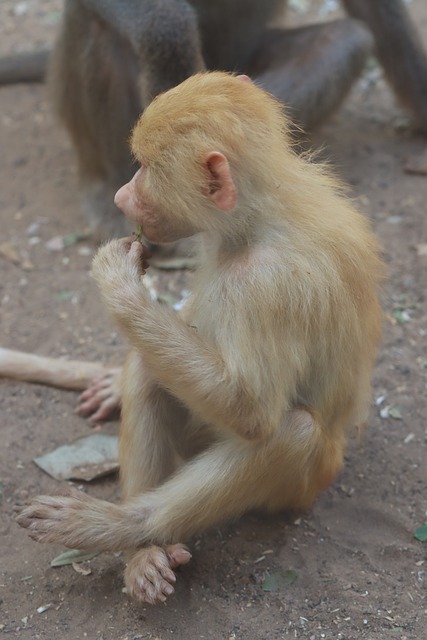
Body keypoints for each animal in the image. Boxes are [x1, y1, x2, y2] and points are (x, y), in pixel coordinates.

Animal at [0, 0, 427, 240]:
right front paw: (170, 61)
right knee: (94, 21)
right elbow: (162, 29)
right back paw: (112, 190)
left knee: (342, 42)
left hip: (245, 55)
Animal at [16, 71, 384, 604]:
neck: (259, 220)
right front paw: (114, 381)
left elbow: (251, 411)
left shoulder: (267, 284)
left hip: (305, 485)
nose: (121, 197)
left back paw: (129, 525)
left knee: (293, 431)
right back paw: (141, 552)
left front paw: (119, 285)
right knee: (151, 369)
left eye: (146, 169)